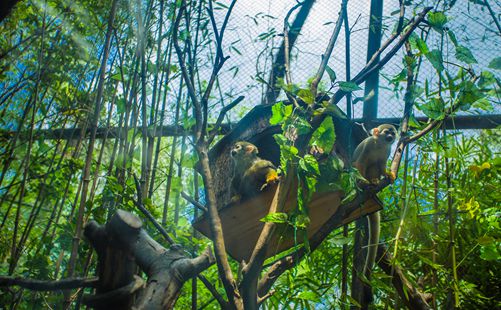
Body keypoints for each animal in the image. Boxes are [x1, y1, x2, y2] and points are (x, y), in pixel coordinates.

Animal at [350, 123, 396, 294]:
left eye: (392, 133)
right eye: (387, 132)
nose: (390, 136)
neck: (380, 144)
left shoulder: (388, 150)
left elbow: (382, 165)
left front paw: (388, 174)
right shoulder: (369, 144)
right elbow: (359, 163)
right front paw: (363, 181)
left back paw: (376, 180)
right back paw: (367, 184)